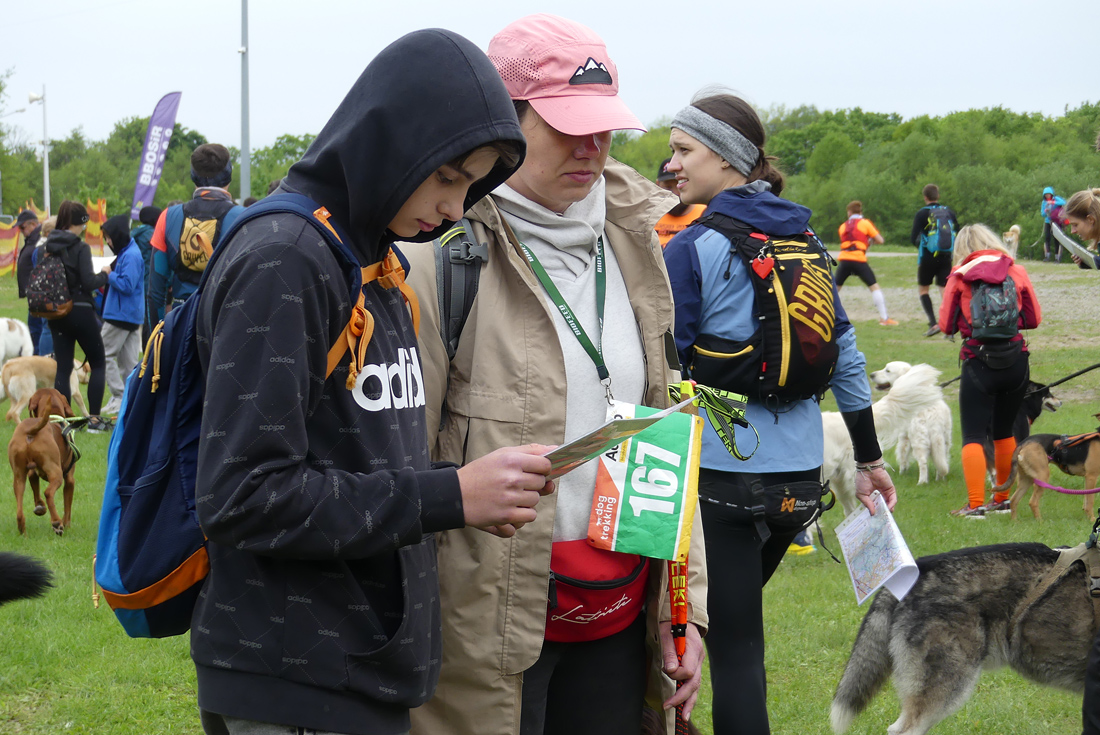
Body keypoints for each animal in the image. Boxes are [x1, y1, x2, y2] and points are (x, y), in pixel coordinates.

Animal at [8, 389, 77, 535]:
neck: (53, 416)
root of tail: (31, 430)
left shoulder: (32, 473)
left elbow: (36, 492)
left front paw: (40, 508)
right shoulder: (69, 479)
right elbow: (67, 506)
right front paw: (66, 524)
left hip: (19, 477)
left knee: (19, 505)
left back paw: (22, 530)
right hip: (56, 474)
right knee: (48, 493)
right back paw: (57, 523)